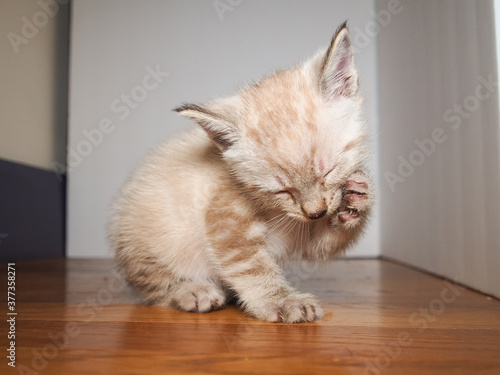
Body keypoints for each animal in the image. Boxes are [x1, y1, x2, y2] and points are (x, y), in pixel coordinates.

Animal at [110, 22, 376, 324]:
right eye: (282, 190)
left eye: (328, 171)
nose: (316, 212)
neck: (273, 208)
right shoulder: (226, 221)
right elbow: (252, 267)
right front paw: (282, 301)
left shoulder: (307, 233)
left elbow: (325, 242)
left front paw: (358, 196)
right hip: (147, 238)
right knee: (151, 287)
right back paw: (192, 292)